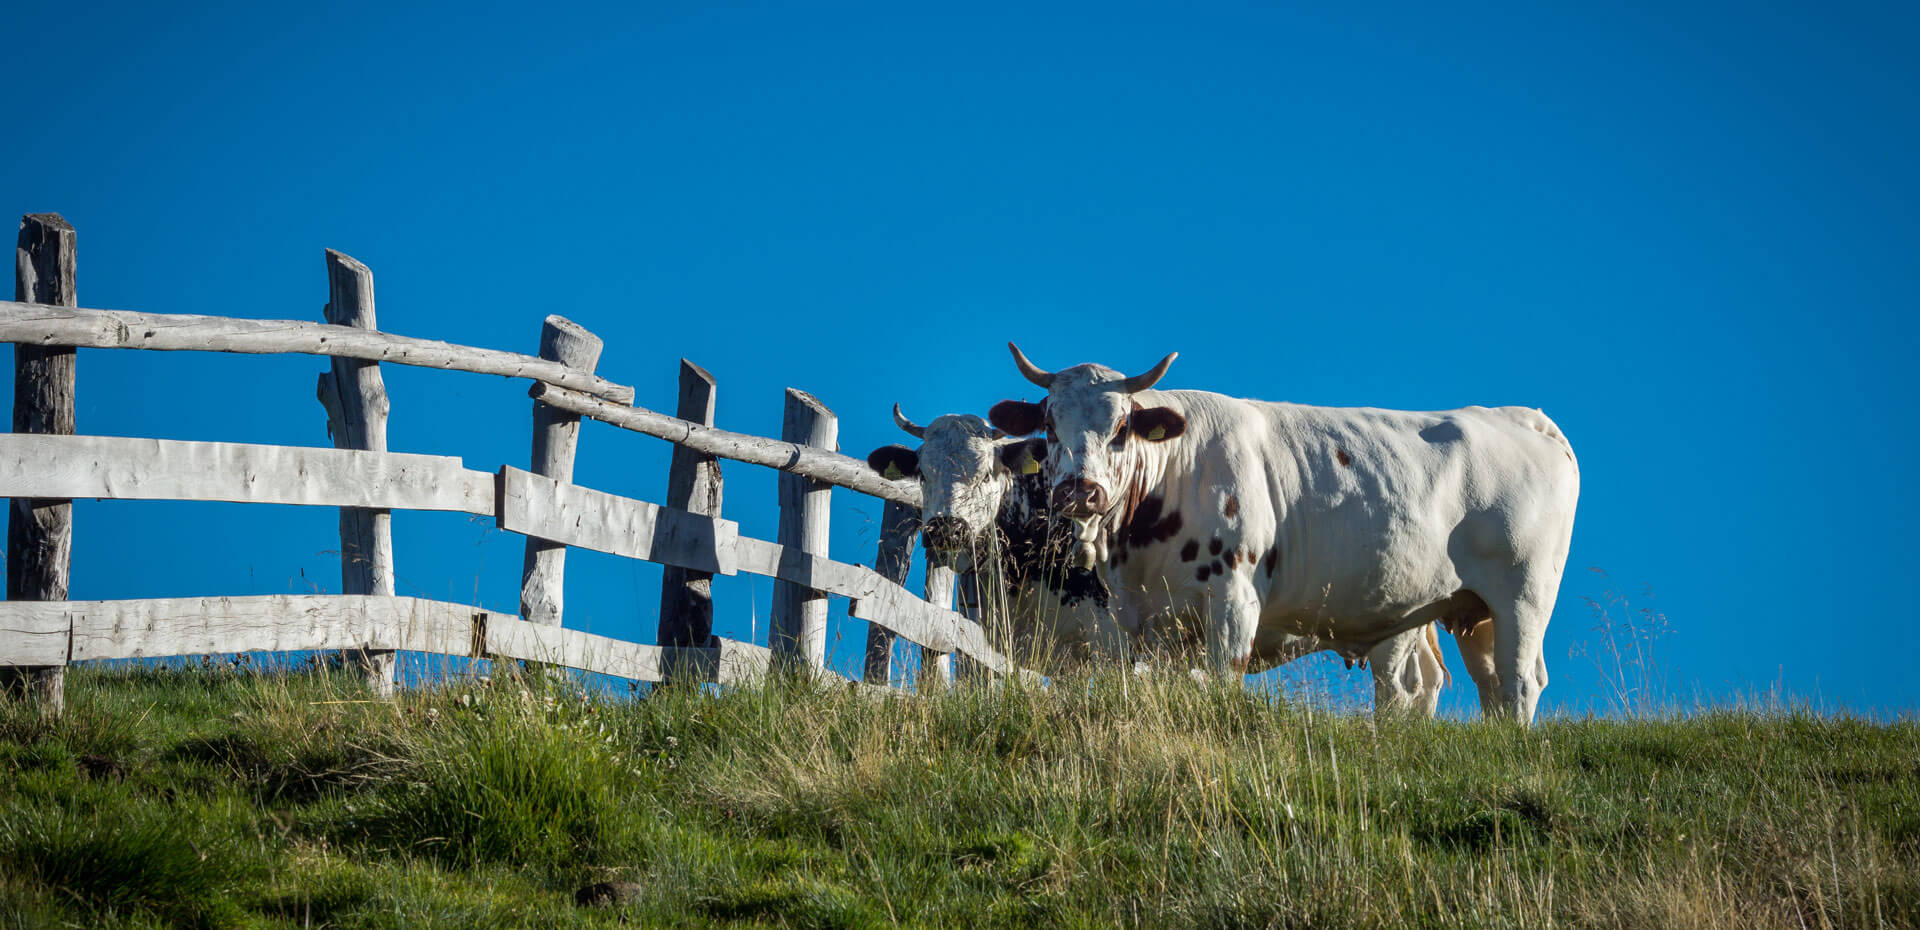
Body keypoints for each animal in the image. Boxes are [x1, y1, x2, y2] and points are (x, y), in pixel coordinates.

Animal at [990, 345, 1574, 722]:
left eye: (1120, 429)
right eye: (1049, 425)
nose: (1080, 491)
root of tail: (1523, 417)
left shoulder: (1234, 601)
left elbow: (1221, 682)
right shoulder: (1137, 621)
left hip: (1524, 596)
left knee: (1517, 682)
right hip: (1468, 608)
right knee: (1482, 684)